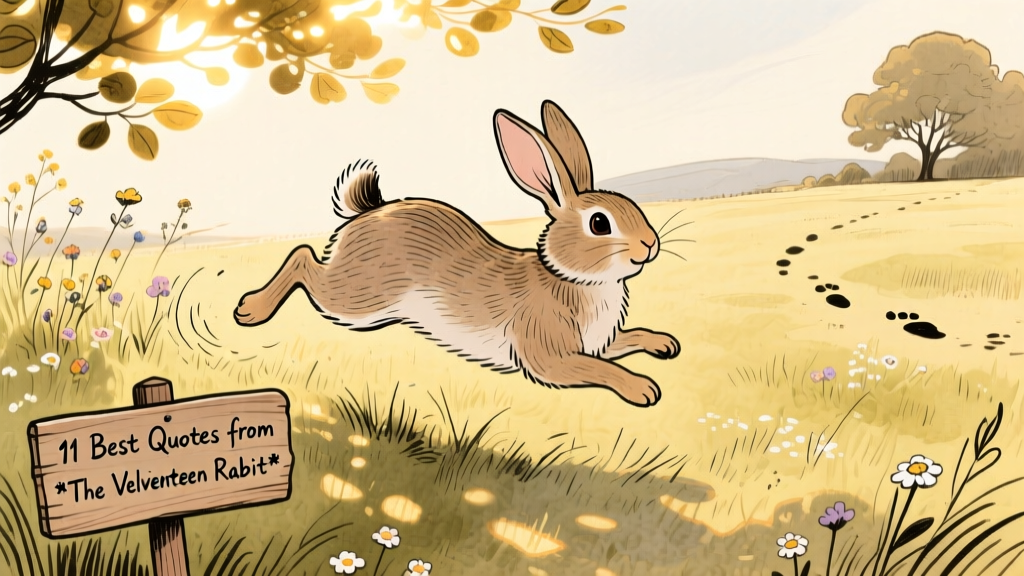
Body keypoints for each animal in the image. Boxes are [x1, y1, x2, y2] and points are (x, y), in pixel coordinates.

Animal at [234, 100, 680, 406]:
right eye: (600, 223)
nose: (650, 245)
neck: (567, 277)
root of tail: (367, 212)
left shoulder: (600, 340)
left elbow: (627, 339)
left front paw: (665, 344)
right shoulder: (548, 354)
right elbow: (598, 367)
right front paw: (643, 388)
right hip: (358, 299)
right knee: (303, 259)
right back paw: (250, 310)